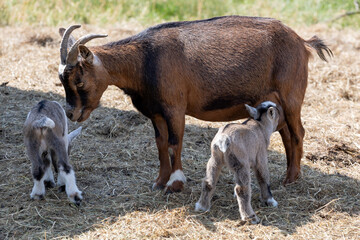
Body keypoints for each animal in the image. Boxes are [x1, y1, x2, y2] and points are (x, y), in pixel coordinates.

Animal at [57, 15, 332, 192]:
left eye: (79, 79)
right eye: (61, 79)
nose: (71, 113)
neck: (145, 59)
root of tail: (302, 42)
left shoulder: (175, 108)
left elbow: (174, 144)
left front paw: (175, 184)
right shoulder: (156, 113)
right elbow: (160, 145)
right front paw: (160, 182)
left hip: (291, 96)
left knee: (298, 133)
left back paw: (291, 180)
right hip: (276, 102)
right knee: (286, 134)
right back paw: (289, 176)